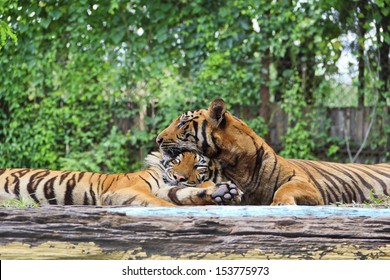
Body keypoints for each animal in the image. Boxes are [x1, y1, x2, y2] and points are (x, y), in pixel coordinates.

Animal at [156, 98, 390, 206]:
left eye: (182, 123)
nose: (157, 140)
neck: (234, 163)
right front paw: (219, 192)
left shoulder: (304, 183)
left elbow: (285, 189)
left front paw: (280, 203)